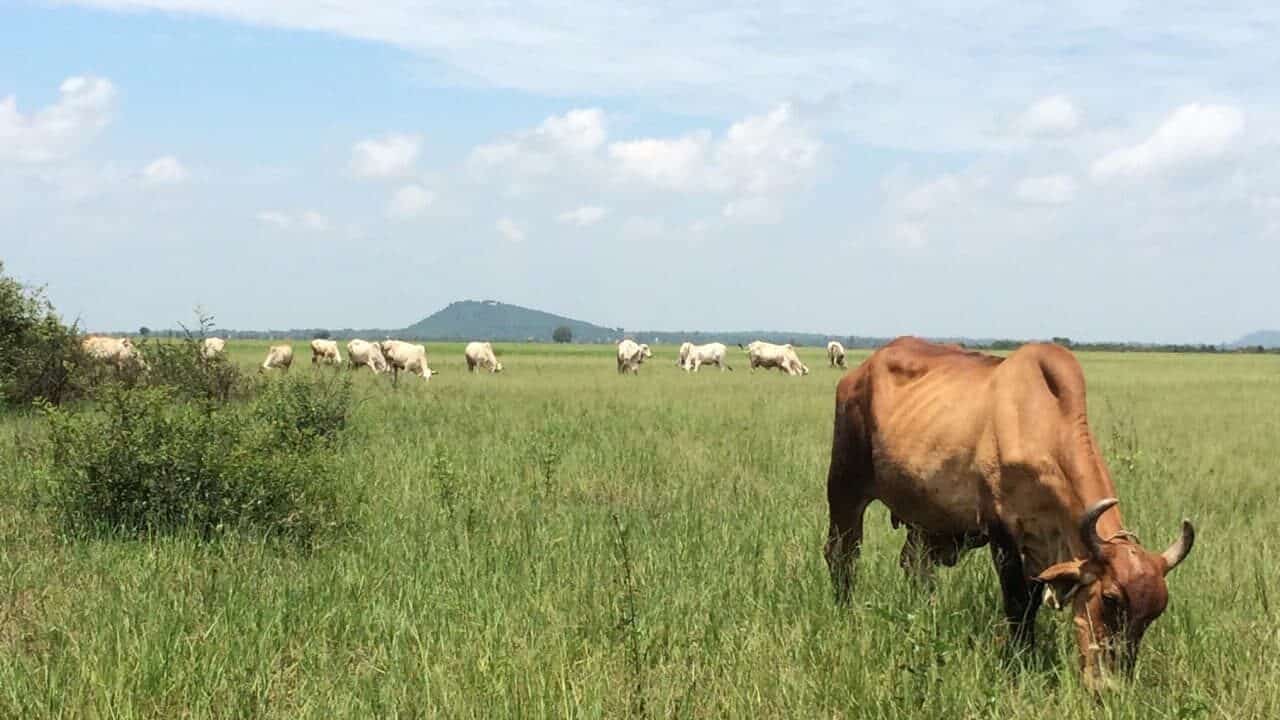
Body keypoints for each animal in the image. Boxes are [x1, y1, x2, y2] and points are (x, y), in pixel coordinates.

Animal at [824, 335, 1192, 691]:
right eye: (1111, 598)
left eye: (1155, 612)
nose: (1110, 687)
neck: (1042, 423)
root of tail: (859, 373)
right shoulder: (1003, 535)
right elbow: (1019, 603)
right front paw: (1020, 660)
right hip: (845, 487)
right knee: (842, 554)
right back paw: (845, 610)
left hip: (923, 517)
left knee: (914, 565)